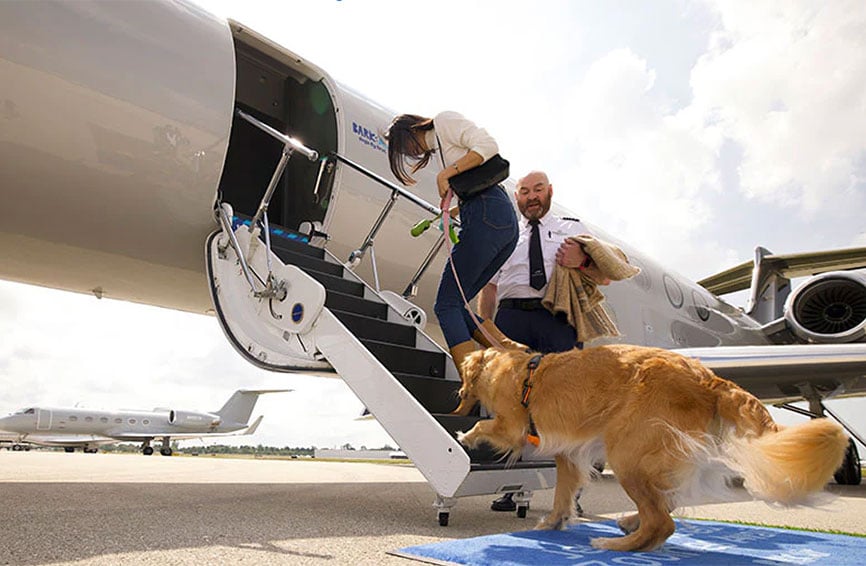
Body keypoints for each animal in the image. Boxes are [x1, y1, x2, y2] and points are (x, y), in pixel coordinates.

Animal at [456, 346, 848, 556]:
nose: (459, 395)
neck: (512, 367)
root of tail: (709, 379)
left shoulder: (512, 425)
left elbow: (487, 428)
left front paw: (465, 435)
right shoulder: (569, 453)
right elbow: (563, 493)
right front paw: (554, 521)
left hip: (627, 453)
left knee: (663, 520)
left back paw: (616, 545)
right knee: (666, 502)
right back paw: (631, 523)